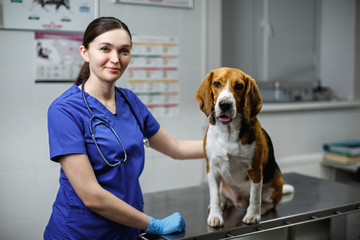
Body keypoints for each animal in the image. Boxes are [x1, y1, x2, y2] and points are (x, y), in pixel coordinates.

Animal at [194, 67, 292, 227]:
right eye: (216, 83)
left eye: (239, 86)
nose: (225, 104)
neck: (228, 133)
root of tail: (238, 201)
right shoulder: (212, 169)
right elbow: (214, 196)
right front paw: (215, 215)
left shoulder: (255, 170)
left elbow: (255, 196)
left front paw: (252, 215)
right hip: (223, 184)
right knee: (222, 197)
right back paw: (221, 205)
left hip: (277, 181)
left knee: (269, 203)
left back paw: (260, 209)